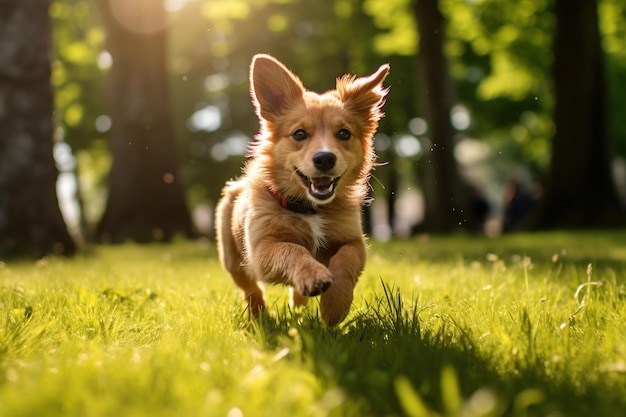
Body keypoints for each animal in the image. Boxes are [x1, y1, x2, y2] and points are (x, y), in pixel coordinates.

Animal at [217, 53, 388, 324]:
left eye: (344, 133)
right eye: (299, 134)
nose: (325, 158)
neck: (311, 209)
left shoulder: (353, 240)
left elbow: (346, 260)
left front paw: (334, 306)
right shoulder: (262, 248)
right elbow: (293, 250)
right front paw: (313, 276)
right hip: (232, 259)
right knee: (250, 288)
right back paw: (259, 315)